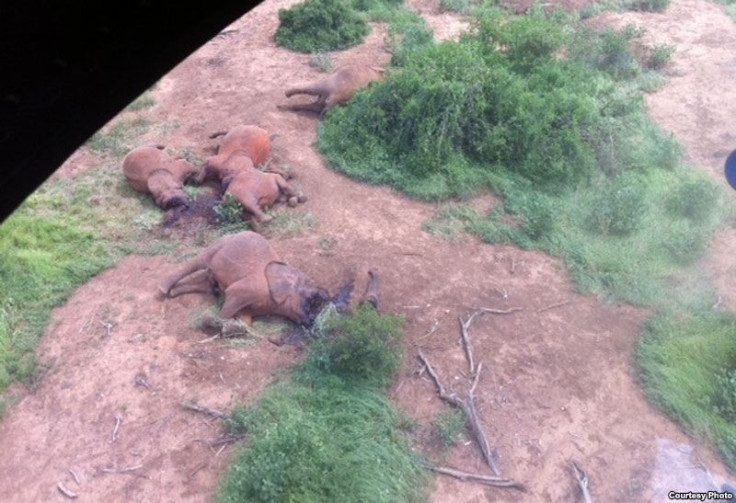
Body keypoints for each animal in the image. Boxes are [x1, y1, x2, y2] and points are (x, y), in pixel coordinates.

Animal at [160, 231, 330, 326]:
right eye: (310, 300)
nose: (312, 321)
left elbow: (246, 319)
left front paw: (235, 327)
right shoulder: (253, 288)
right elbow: (231, 295)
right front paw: (211, 321)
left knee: (209, 286)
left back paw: (172, 294)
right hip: (219, 244)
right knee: (199, 261)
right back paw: (162, 289)